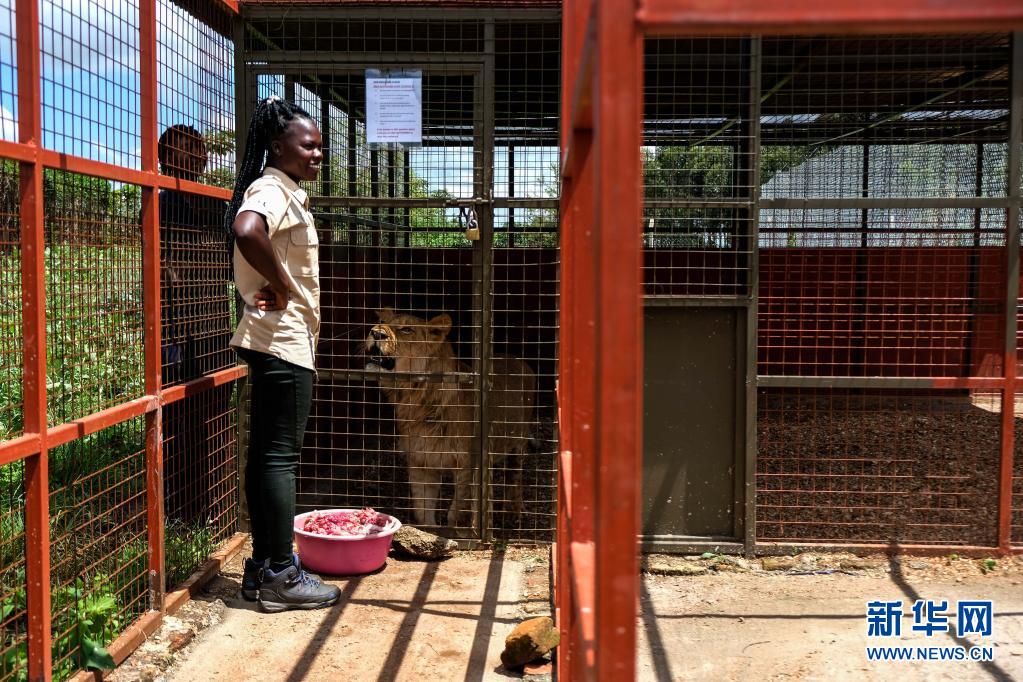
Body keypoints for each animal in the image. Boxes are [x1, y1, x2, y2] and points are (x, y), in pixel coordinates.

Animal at [364, 308, 537, 530]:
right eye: (383, 321)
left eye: (407, 329)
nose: (375, 333)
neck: (416, 398)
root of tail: (516, 358)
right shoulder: (421, 462)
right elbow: (423, 510)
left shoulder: (468, 464)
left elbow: (456, 511)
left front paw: (459, 531)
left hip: (518, 444)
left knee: (515, 478)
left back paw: (514, 513)